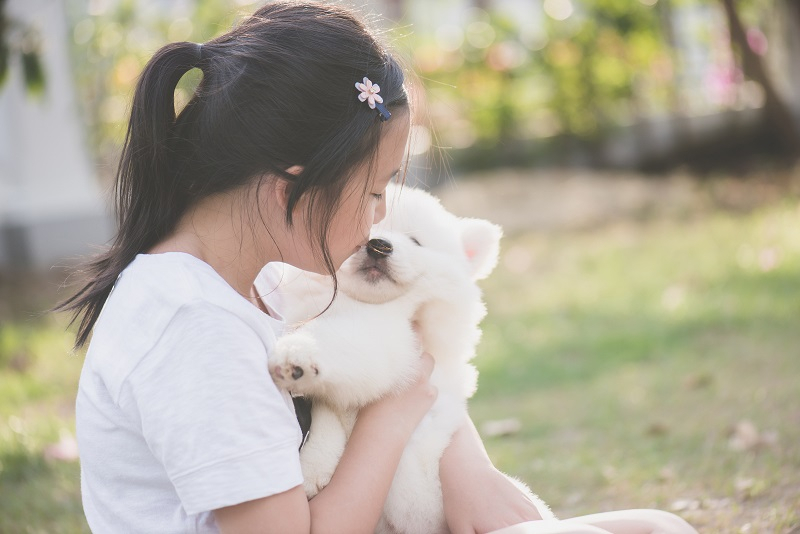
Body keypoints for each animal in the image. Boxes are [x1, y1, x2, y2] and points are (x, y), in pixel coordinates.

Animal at [266, 186, 552, 532]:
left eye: (415, 241)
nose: (379, 245)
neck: (364, 303)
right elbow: (327, 409)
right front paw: (314, 465)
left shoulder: (389, 344)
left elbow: (341, 348)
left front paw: (297, 354)